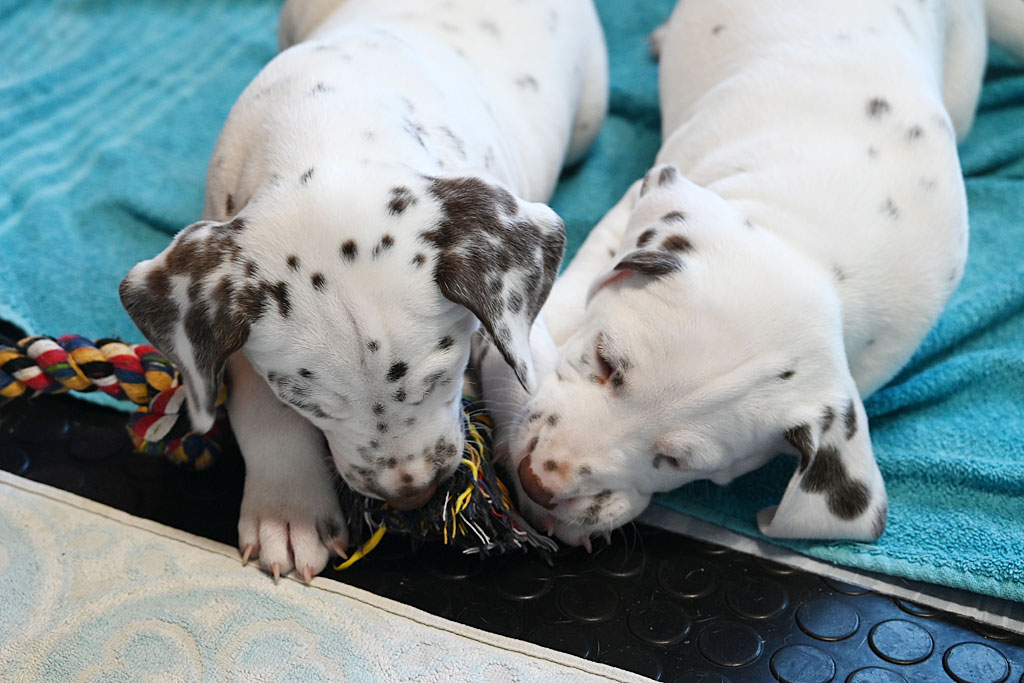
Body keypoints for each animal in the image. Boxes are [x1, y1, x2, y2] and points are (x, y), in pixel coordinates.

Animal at [119, 0, 607, 580]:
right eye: (310, 405)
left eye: (442, 375)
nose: (413, 495)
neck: (328, 128)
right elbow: (262, 413)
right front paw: (287, 511)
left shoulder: (503, 302)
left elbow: (522, 366)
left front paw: (544, 476)